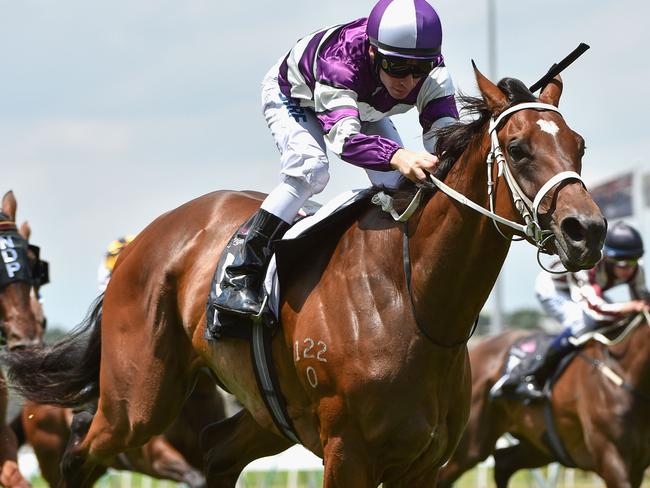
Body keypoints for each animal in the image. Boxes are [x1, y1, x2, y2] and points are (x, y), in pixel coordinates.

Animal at [2, 66, 604, 486]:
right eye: (519, 149)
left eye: (578, 145)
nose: (588, 231)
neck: (411, 301)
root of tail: (138, 246)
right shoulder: (347, 453)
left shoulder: (424, 461)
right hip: (137, 401)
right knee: (81, 449)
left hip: (264, 413)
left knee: (216, 451)